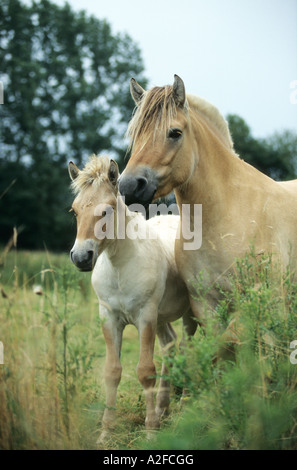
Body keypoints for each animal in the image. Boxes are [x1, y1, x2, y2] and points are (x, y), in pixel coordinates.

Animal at [68, 154, 193, 440]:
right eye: (74, 211)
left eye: (106, 210)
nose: (81, 257)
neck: (119, 267)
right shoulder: (109, 317)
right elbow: (112, 372)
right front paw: (106, 432)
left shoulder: (145, 317)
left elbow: (145, 371)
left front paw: (150, 432)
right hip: (162, 318)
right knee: (170, 345)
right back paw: (162, 409)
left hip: (189, 314)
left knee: (189, 347)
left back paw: (182, 406)